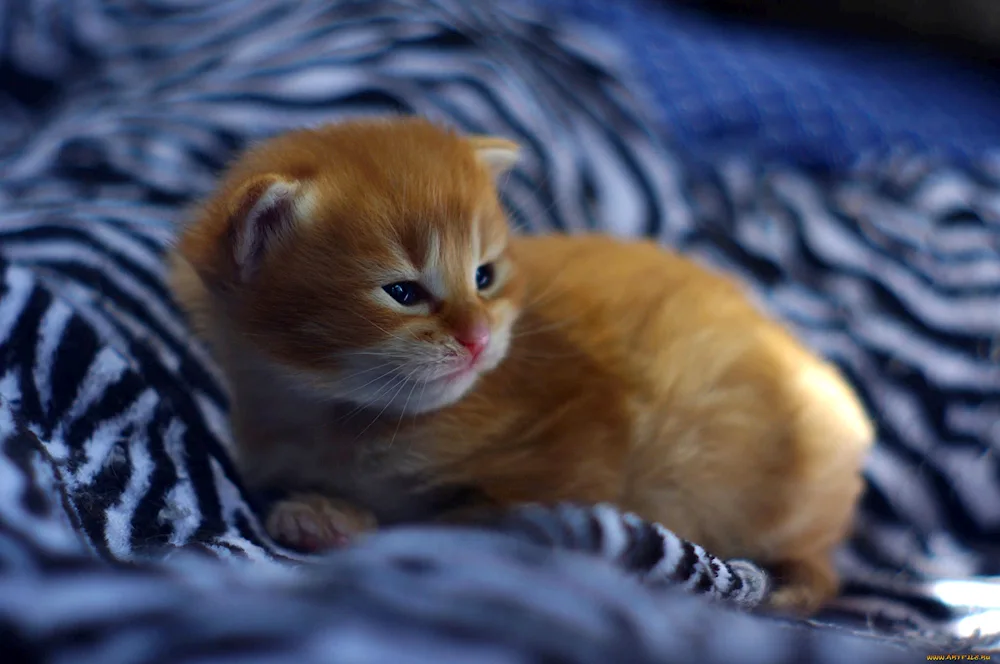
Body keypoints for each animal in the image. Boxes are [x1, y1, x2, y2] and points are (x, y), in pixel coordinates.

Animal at [170, 116, 876, 616]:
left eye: (484, 276)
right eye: (402, 292)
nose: (479, 338)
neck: (346, 414)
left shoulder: (576, 457)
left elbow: (449, 523)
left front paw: (340, 520)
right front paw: (318, 511)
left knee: (823, 565)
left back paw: (790, 587)